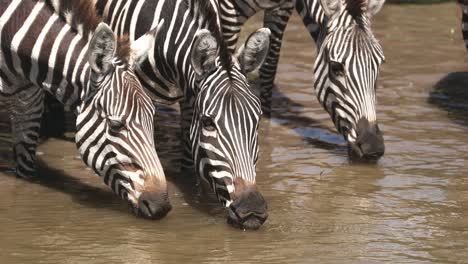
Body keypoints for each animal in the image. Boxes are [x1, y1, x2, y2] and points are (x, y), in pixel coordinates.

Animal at [218, 0, 386, 160]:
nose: (373, 147)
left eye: (379, 64)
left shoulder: (282, 9)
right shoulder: (227, 11)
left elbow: (269, 68)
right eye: (336, 67)